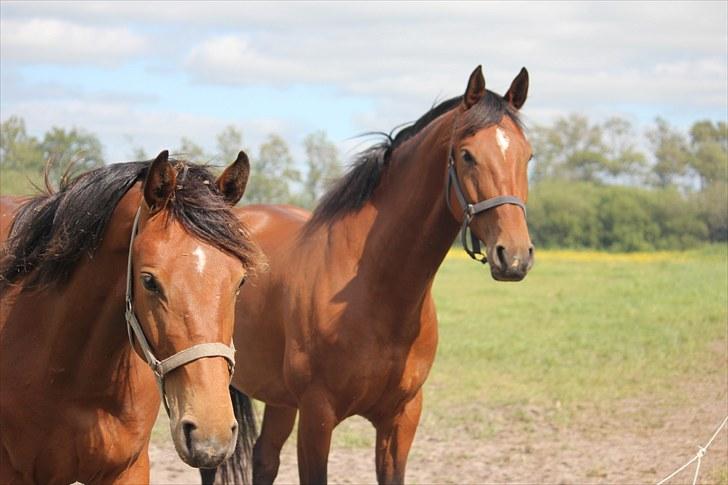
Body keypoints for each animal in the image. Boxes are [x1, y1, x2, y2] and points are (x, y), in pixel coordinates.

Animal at [205, 65, 536, 484]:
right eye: (467, 155)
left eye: (528, 156)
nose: (515, 256)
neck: (377, 291)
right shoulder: (317, 416)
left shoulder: (401, 419)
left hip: (279, 399)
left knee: (264, 458)